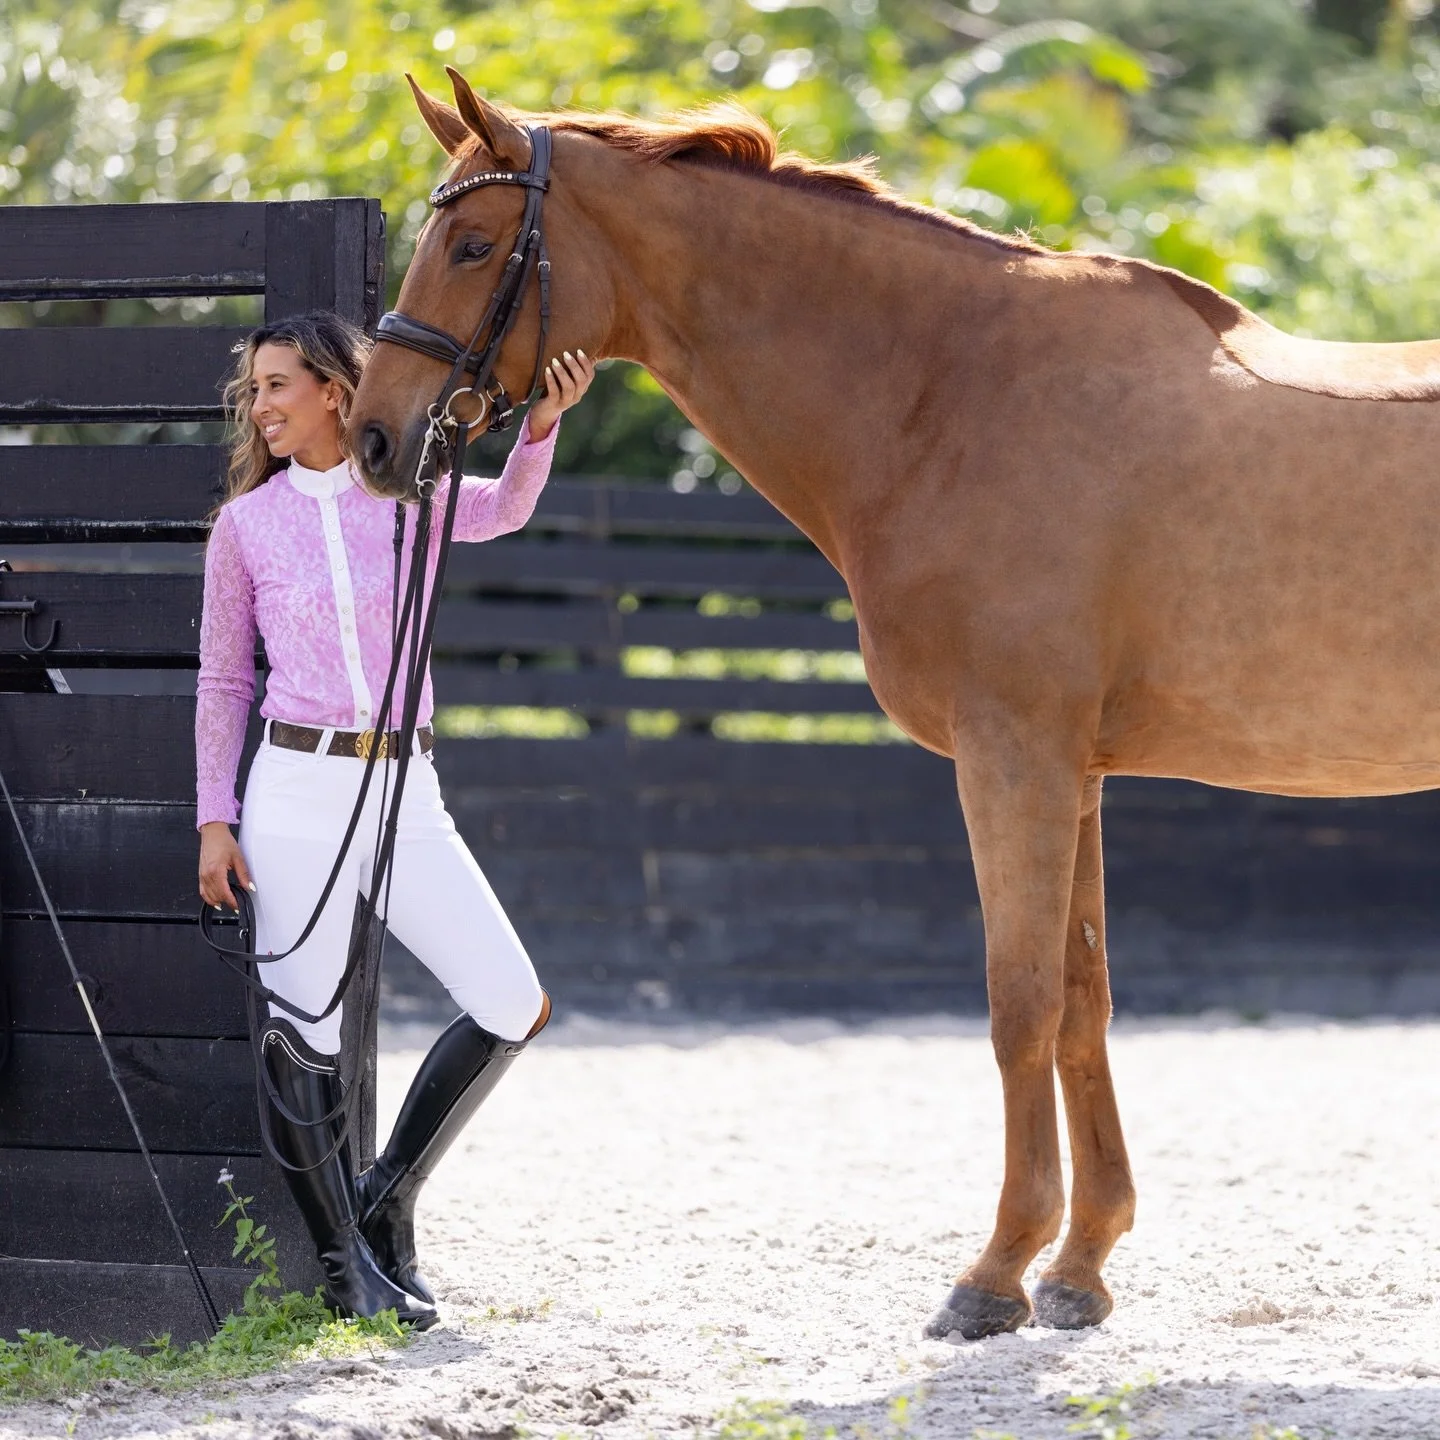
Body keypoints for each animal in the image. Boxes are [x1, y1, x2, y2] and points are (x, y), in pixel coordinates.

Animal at [349, 68, 1440, 1341]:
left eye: (473, 243)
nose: (376, 437)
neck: (952, 393)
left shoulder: (1014, 756)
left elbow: (1019, 1004)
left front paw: (998, 1271)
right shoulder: (1073, 774)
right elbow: (1082, 999)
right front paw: (1080, 1265)